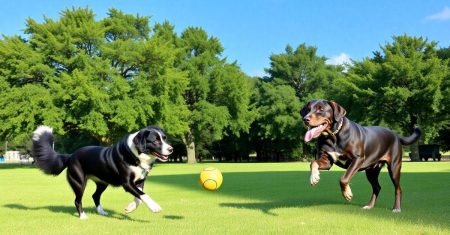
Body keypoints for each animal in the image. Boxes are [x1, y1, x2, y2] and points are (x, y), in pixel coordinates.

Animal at [32, 126, 174, 219]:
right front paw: (155, 207)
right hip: (79, 182)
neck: (136, 154)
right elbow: (144, 195)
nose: (171, 149)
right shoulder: (127, 183)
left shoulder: (140, 181)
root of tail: (71, 156)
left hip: (102, 182)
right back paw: (83, 216)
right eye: (155, 140)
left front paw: (129, 208)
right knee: (77, 200)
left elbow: (139, 197)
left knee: (95, 196)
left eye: (164, 138)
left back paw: (102, 212)